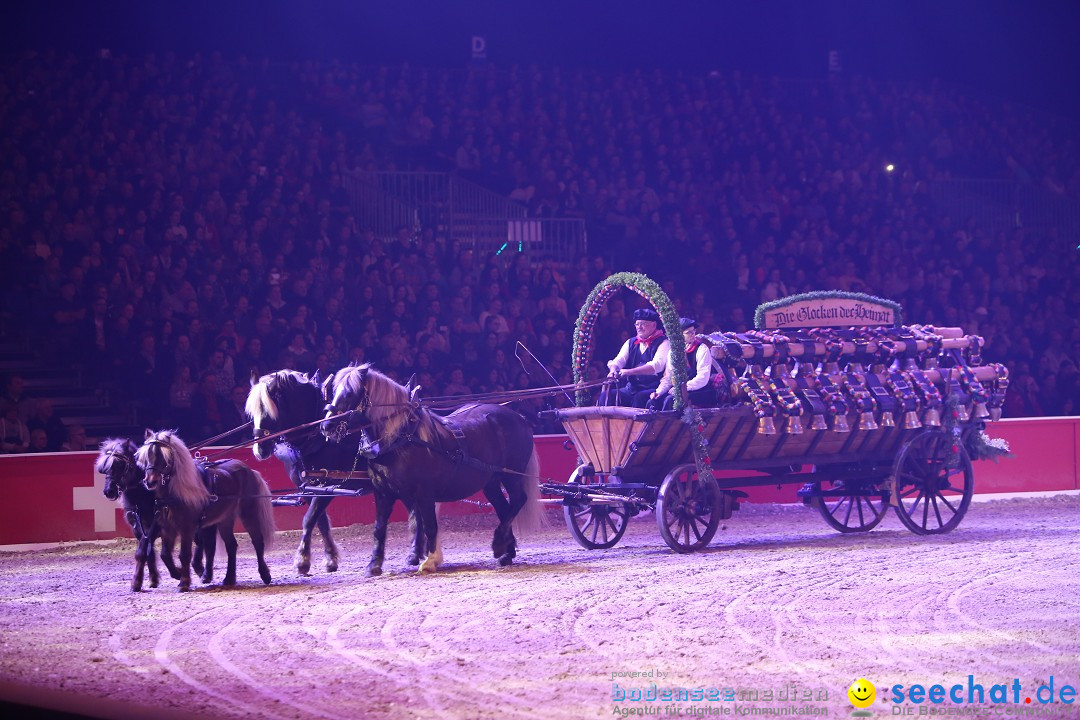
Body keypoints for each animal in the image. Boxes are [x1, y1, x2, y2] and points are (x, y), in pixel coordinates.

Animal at [135, 427, 276, 591]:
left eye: (163, 457)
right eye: (147, 457)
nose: (150, 482)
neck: (176, 492)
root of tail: (249, 470)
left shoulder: (187, 527)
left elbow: (184, 554)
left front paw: (184, 582)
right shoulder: (167, 527)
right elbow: (165, 554)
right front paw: (178, 574)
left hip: (248, 513)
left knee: (257, 541)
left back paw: (265, 575)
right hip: (225, 519)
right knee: (231, 545)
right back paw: (229, 578)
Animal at [247, 369, 427, 578]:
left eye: (269, 409)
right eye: (252, 413)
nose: (259, 450)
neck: (316, 436)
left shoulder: (327, 484)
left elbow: (308, 519)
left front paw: (302, 562)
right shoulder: (309, 488)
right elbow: (321, 522)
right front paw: (330, 559)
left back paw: (416, 553)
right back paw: (417, 552)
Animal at [317, 367, 540, 574]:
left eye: (350, 393)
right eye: (333, 391)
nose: (326, 426)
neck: (400, 438)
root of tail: (518, 416)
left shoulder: (424, 492)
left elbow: (430, 523)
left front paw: (431, 560)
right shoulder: (383, 492)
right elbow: (379, 528)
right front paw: (374, 565)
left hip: (510, 475)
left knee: (518, 500)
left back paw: (499, 545)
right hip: (491, 481)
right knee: (503, 508)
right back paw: (506, 552)